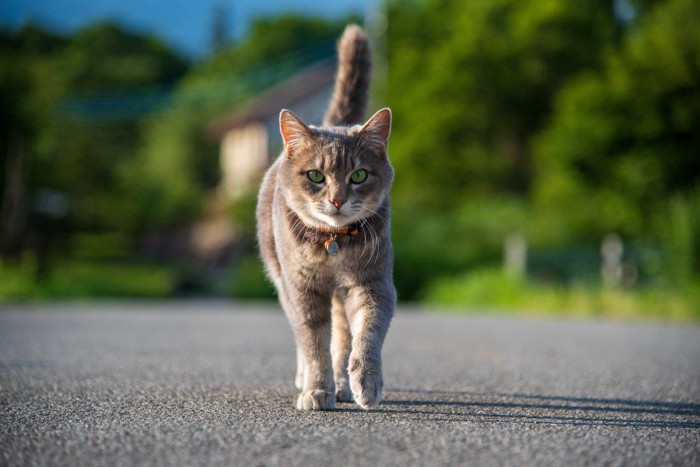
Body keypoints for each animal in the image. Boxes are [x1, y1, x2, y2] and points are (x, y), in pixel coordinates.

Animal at [258, 26, 396, 414]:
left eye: (359, 175)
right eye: (316, 176)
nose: (337, 199)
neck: (332, 246)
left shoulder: (373, 285)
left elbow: (365, 335)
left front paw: (365, 382)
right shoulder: (302, 290)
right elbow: (312, 343)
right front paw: (317, 390)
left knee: (343, 334)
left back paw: (344, 384)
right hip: (281, 279)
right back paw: (309, 380)